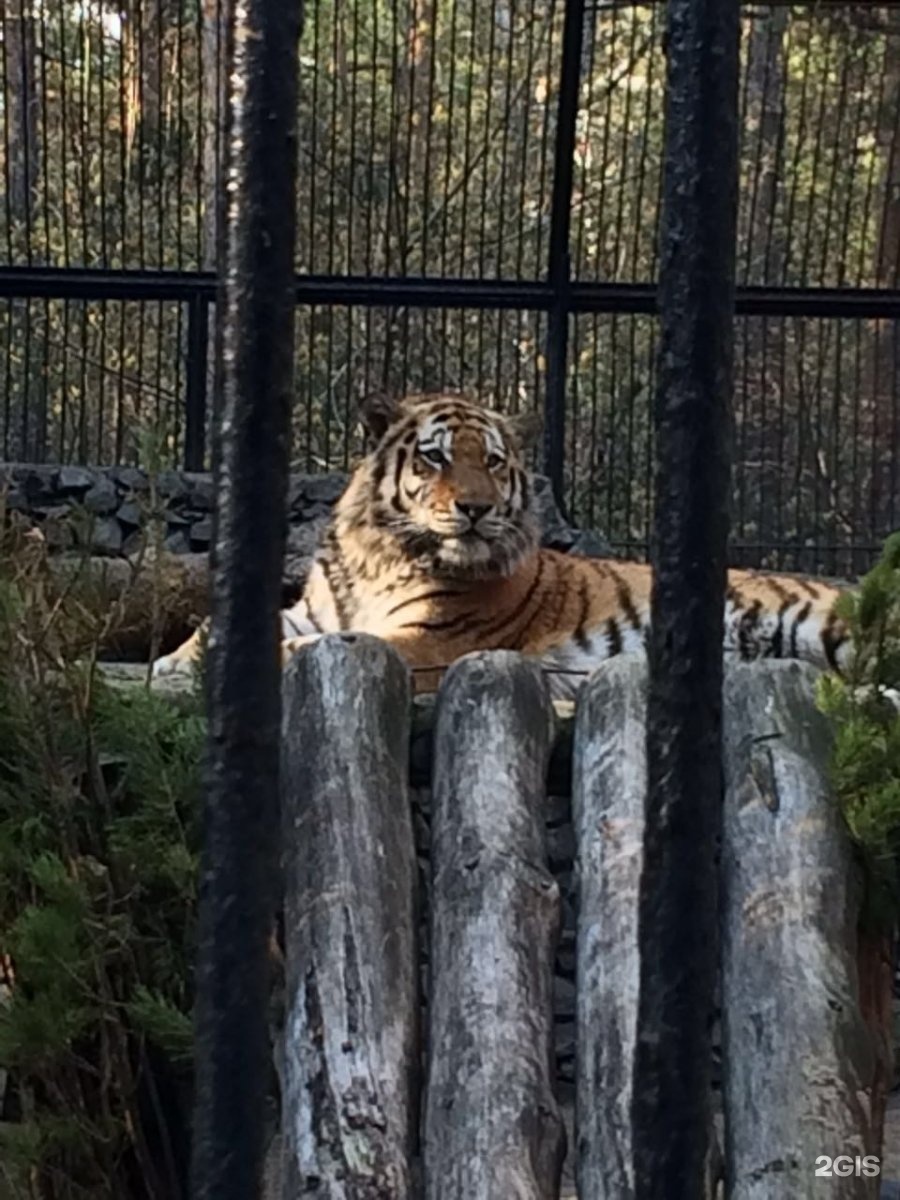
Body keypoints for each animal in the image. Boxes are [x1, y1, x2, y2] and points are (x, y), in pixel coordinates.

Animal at [153, 388, 854, 700]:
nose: (475, 508)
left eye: (491, 461)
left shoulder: (432, 641)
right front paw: (173, 661)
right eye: (435, 457)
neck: (381, 555)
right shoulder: (316, 608)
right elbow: (230, 624)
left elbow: (306, 648)